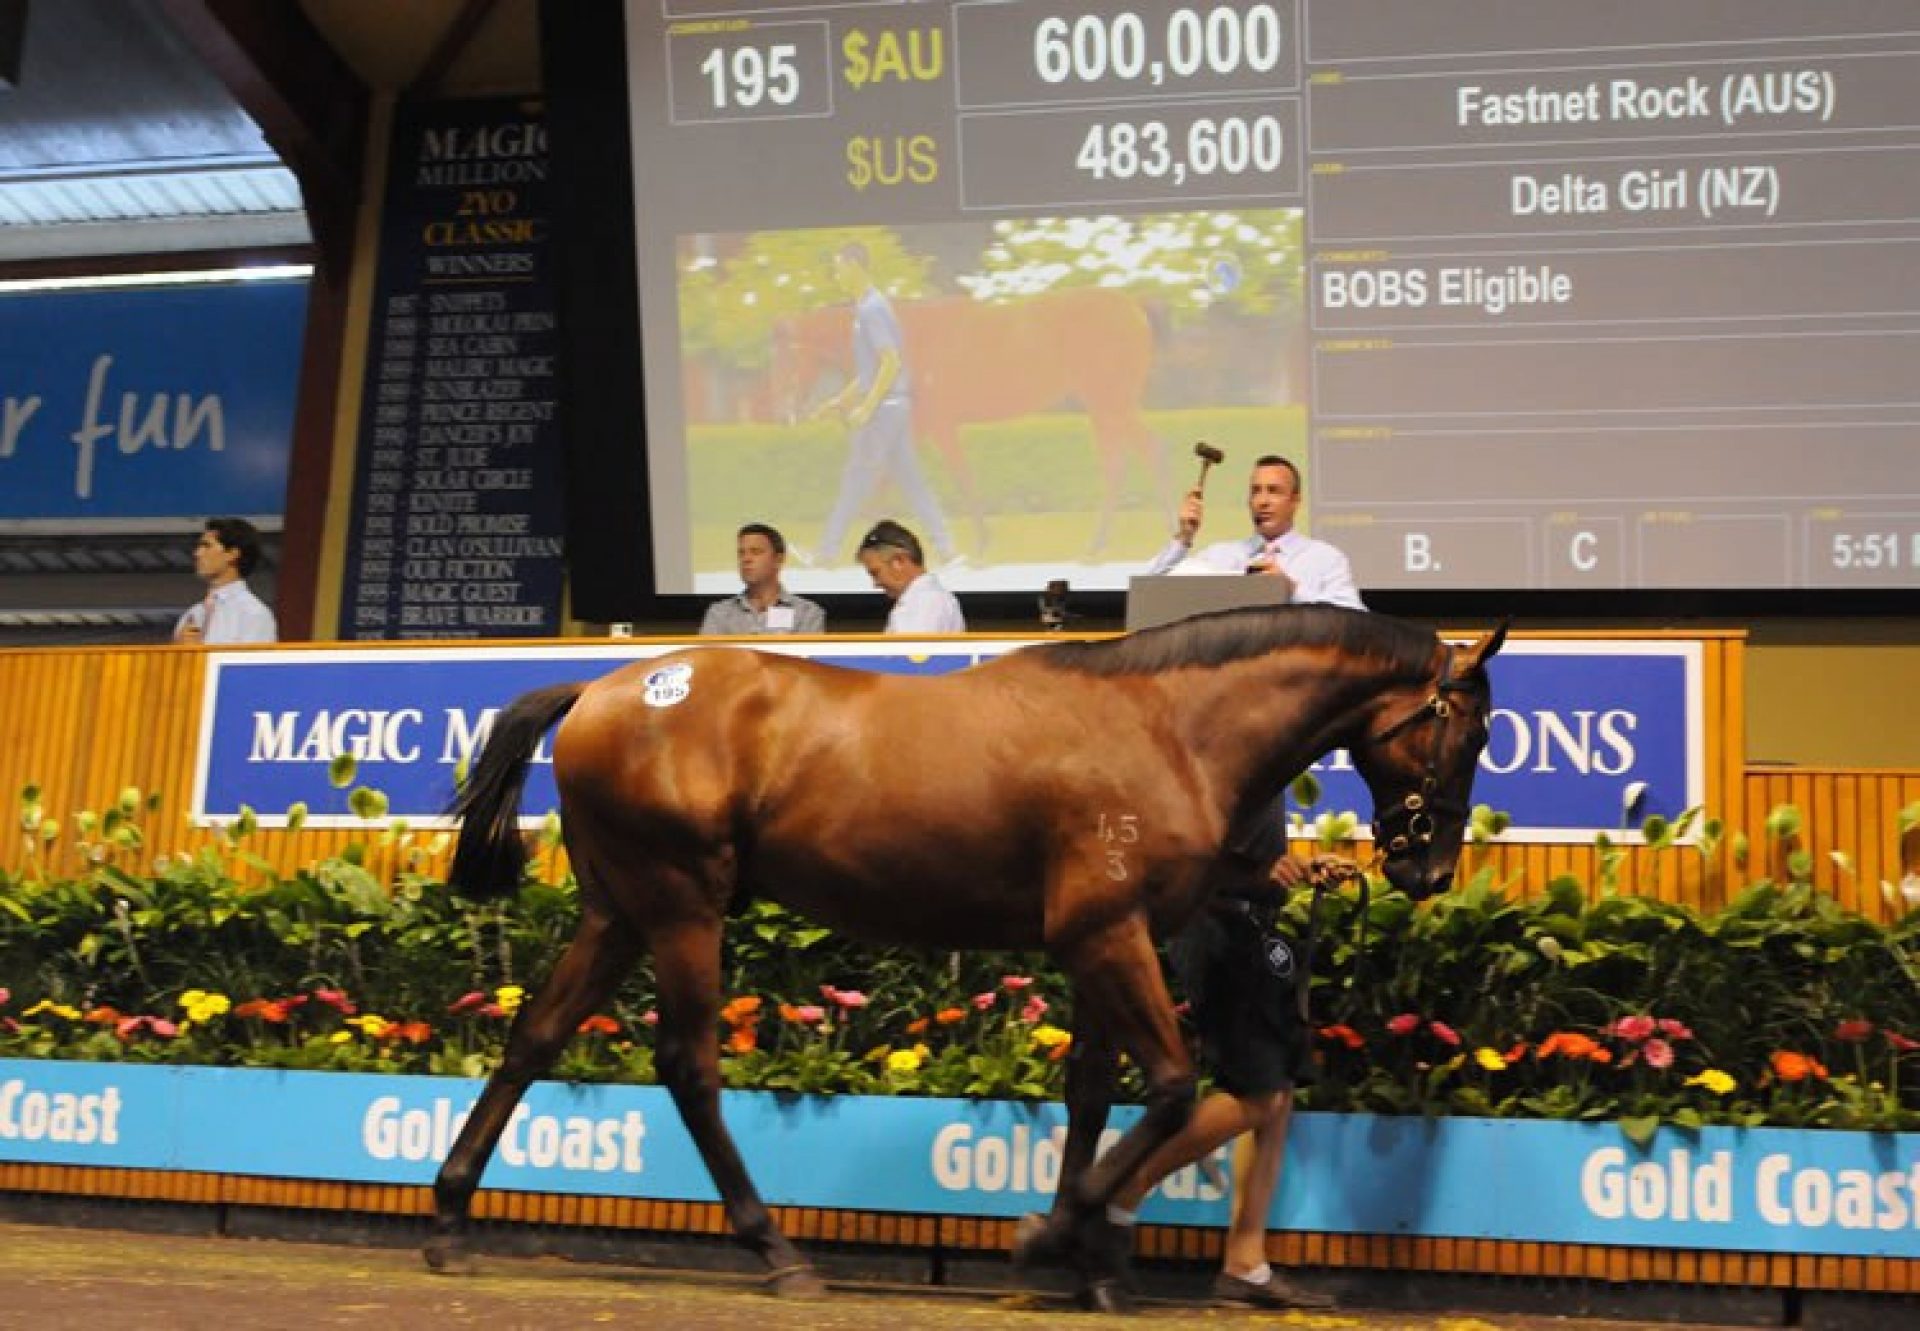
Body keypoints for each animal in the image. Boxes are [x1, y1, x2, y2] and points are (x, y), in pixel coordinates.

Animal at [420, 606, 1497, 1306]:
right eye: (1467, 727)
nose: (1430, 863)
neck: (1165, 726)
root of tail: (602, 686)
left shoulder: (1105, 938)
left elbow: (1095, 1094)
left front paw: (1091, 1260)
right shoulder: (1105, 932)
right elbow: (1171, 1085)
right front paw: (1057, 1233)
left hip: (620, 911)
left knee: (534, 1036)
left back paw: (450, 1218)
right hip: (684, 905)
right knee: (687, 1065)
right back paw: (777, 1250)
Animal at [771, 286, 1159, 556]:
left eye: (785, 356)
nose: (783, 408)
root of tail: (1132, 304)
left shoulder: (935, 425)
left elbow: (956, 477)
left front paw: (981, 544)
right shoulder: (920, 428)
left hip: (1111, 401)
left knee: (1143, 454)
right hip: (1105, 406)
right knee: (1121, 461)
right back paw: (1102, 544)